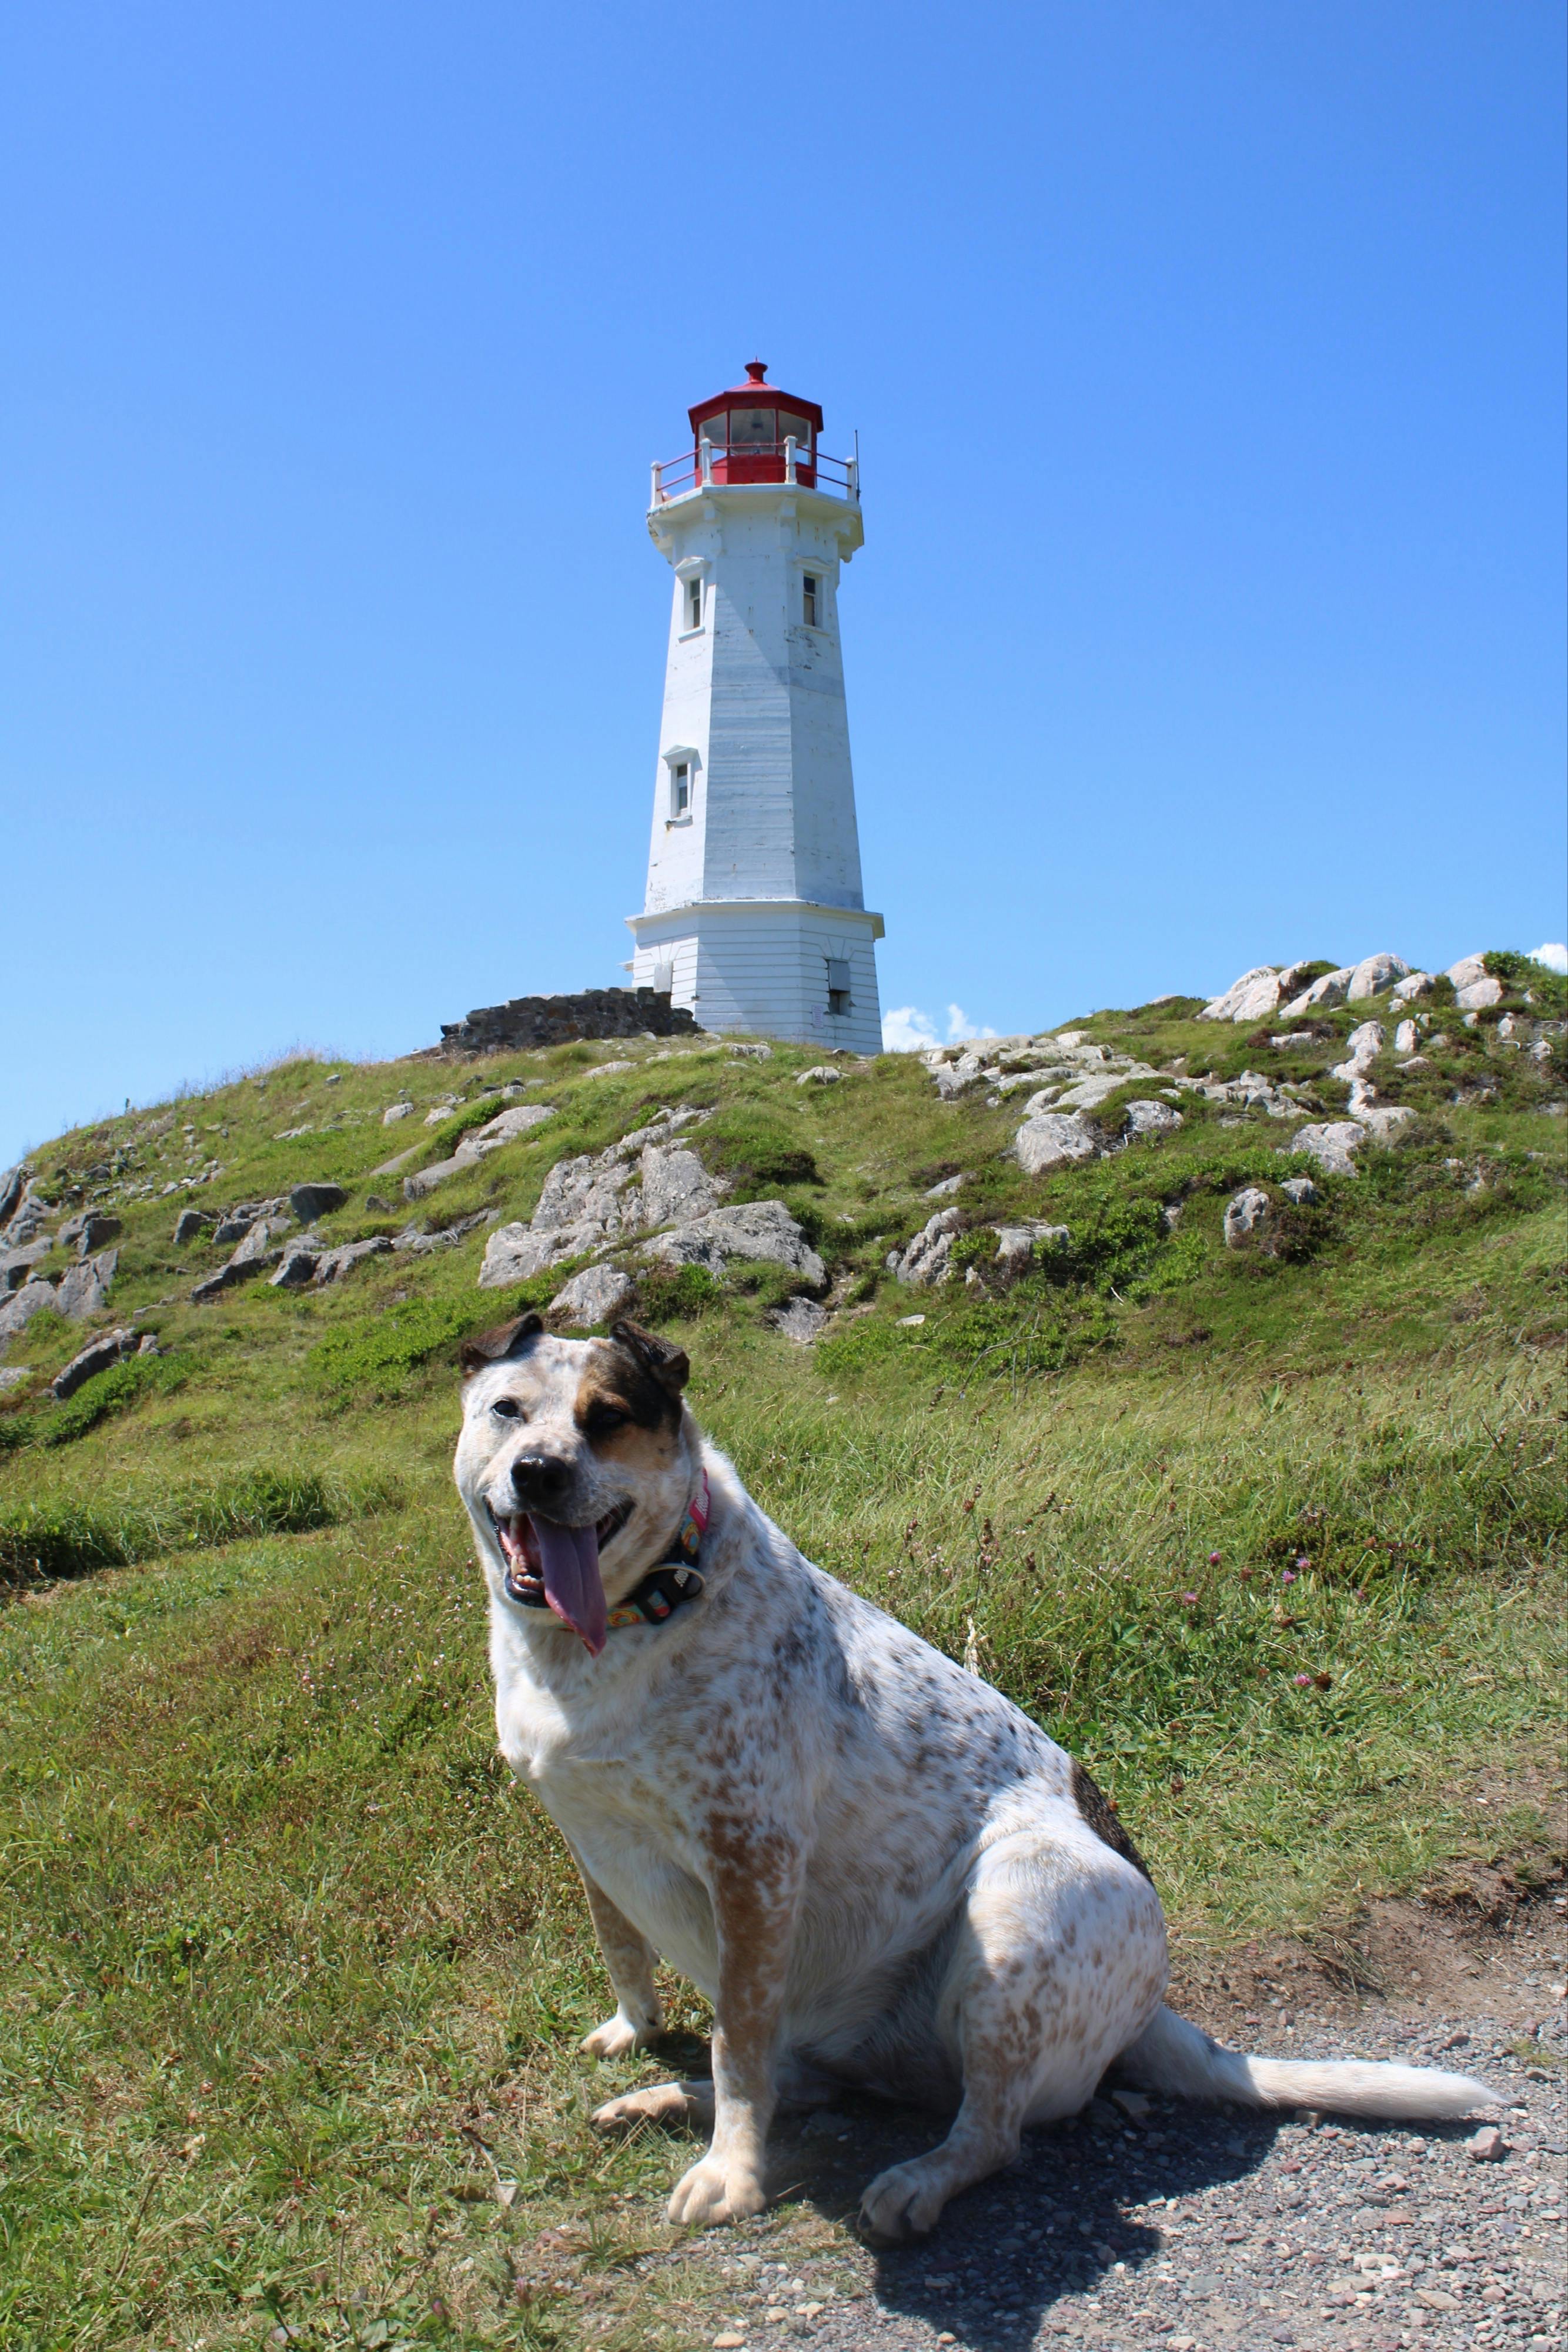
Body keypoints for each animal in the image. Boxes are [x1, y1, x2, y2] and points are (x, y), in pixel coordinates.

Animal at [451, 1317, 1495, 2230]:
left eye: (606, 1417)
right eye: (507, 1409)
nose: (537, 1472)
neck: (635, 1615)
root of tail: (1153, 2015)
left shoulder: (751, 1863)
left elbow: (737, 2039)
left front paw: (732, 2176)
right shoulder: (588, 1837)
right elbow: (625, 1952)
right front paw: (635, 2036)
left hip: (1016, 1904)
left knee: (985, 2132)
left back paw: (912, 2181)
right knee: (811, 2082)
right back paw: (665, 2098)